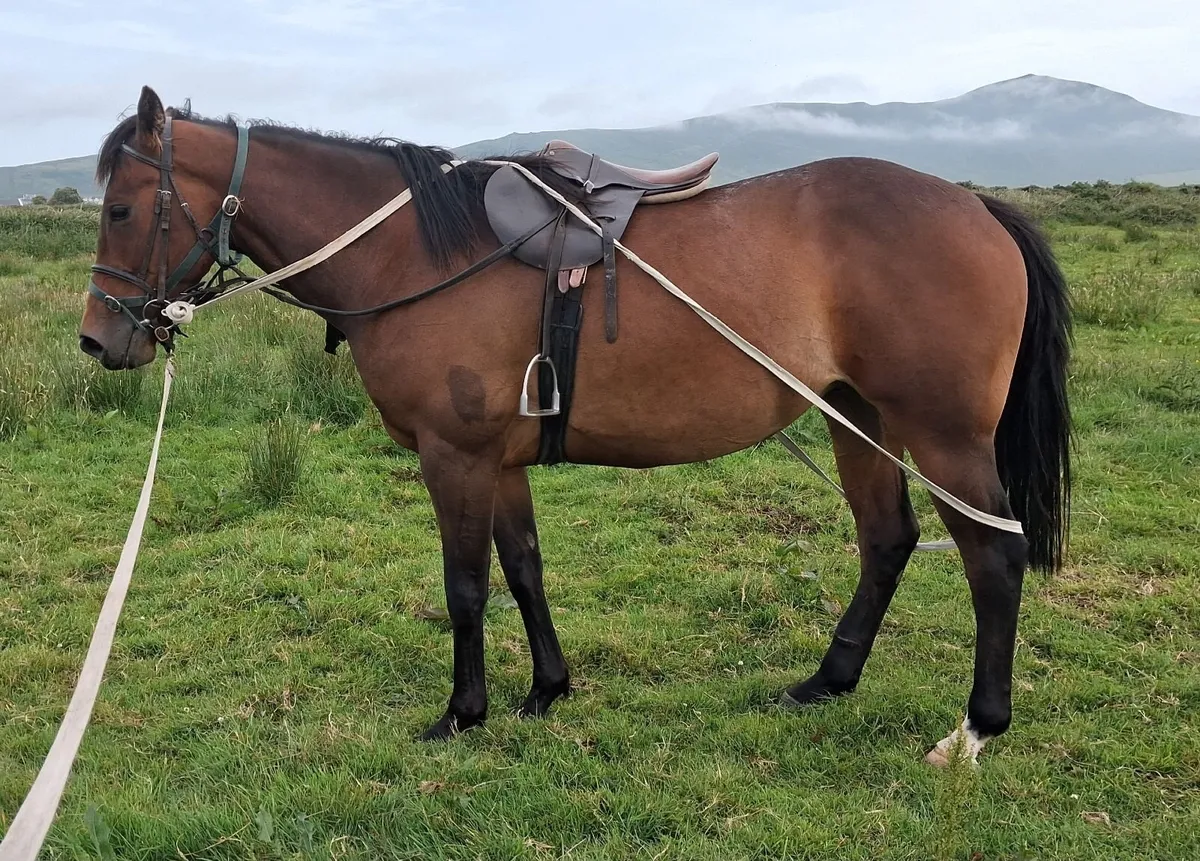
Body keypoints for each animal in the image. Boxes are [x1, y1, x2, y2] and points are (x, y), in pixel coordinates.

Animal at [78, 85, 1071, 765]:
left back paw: (976, 728)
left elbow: (466, 588)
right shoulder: (501, 460)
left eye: (122, 207)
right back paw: (829, 681)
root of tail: (978, 206)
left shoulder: (455, 458)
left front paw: (463, 711)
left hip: (944, 434)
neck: (411, 254)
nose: (98, 340)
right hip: (858, 418)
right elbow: (523, 569)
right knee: (887, 538)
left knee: (994, 555)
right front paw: (546, 690)